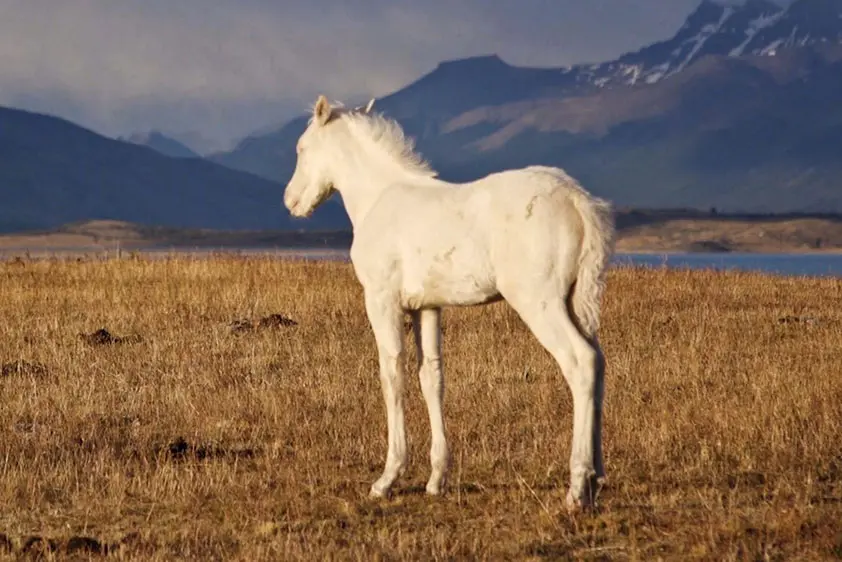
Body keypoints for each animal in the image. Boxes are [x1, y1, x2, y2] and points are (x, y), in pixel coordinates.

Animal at [283, 95, 615, 512]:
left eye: (301, 148)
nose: (291, 201)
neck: (378, 198)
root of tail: (576, 199)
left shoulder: (381, 299)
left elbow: (392, 375)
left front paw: (387, 478)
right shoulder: (427, 306)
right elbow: (431, 377)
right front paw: (436, 478)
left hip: (539, 301)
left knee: (581, 362)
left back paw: (577, 488)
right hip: (576, 301)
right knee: (598, 362)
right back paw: (598, 478)